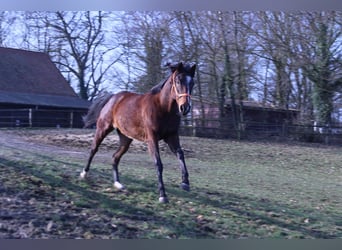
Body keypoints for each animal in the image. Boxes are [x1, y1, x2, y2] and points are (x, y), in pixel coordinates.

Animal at [80, 62, 196, 203]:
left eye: (192, 83)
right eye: (178, 80)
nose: (185, 108)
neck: (162, 108)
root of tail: (113, 97)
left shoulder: (172, 136)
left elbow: (180, 154)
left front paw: (185, 183)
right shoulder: (152, 138)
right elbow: (158, 163)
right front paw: (162, 195)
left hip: (126, 139)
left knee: (115, 157)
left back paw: (118, 184)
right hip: (103, 129)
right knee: (94, 149)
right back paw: (84, 174)